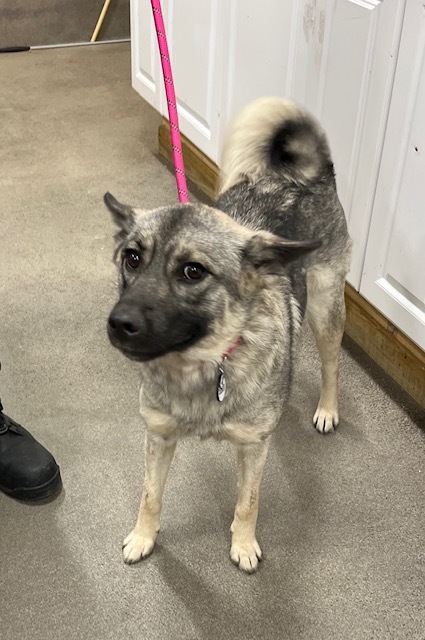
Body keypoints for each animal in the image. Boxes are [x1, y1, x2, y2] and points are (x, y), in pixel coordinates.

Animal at [104, 97, 350, 572]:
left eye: (192, 271)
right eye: (132, 258)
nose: (118, 323)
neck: (204, 364)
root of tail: (307, 175)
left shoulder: (254, 448)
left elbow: (248, 502)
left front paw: (243, 543)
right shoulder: (159, 437)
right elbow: (150, 495)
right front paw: (144, 536)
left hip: (326, 307)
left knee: (331, 364)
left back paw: (328, 409)